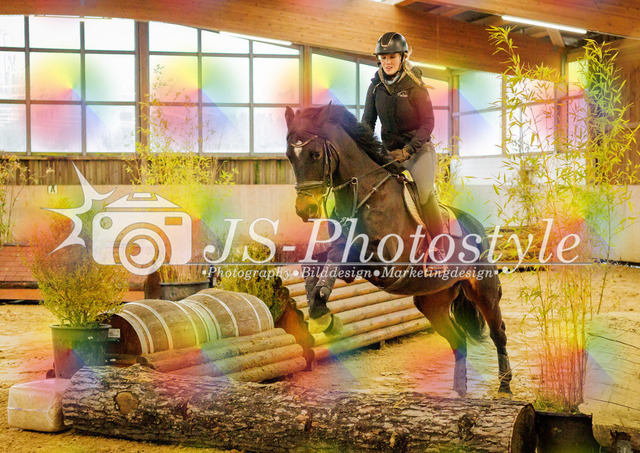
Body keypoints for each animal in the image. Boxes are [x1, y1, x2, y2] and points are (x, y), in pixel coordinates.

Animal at [284, 103, 512, 396]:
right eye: (289, 156)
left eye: (315, 154)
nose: (306, 210)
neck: (364, 194)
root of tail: (478, 226)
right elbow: (316, 260)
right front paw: (320, 310)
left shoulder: (386, 264)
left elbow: (339, 257)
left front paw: (325, 312)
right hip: (432, 301)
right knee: (458, 339)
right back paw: (458, 393)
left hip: (483, 289)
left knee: (498, 332)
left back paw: (505, 386)